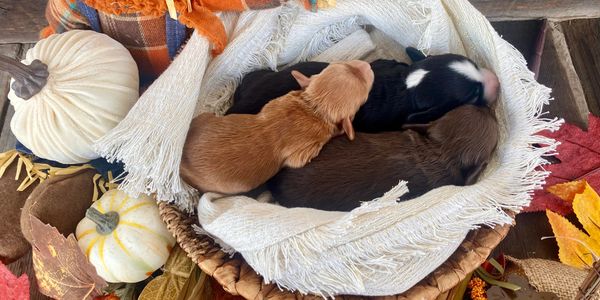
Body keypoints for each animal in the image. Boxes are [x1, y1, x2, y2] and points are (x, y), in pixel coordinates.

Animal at [180, 60, 372, 195]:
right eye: (364, 90)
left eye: (342, 64)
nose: (367, 65)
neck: (314, 107)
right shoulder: (303, 151)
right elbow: (299, 161)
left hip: (203, 117)